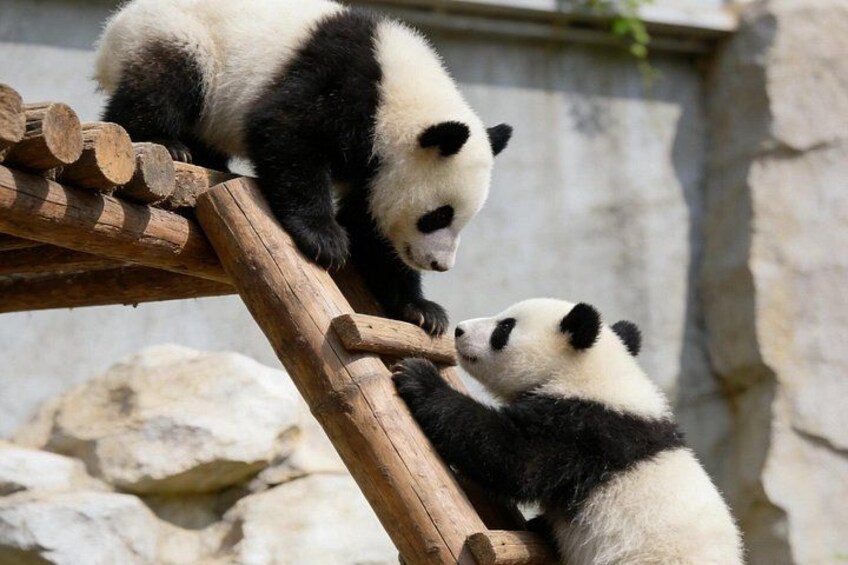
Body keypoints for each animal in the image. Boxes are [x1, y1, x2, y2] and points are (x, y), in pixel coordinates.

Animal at [94, 0, 512, 335]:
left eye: (462, 220)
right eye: (437, 216)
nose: (440, 264)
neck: (399, 97)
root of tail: (114, 28)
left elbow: (372, 230)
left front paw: (422, 311)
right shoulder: (340, 83)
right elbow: (286, 131)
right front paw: (326, 241)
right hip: (180, 37)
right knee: (161, 85)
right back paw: (168, 143)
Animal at [393, 298, 744, 564]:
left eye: (504, 328)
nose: (460, 329)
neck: (592, 372)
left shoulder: (585, 431)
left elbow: (514, 457)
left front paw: (419, 377)